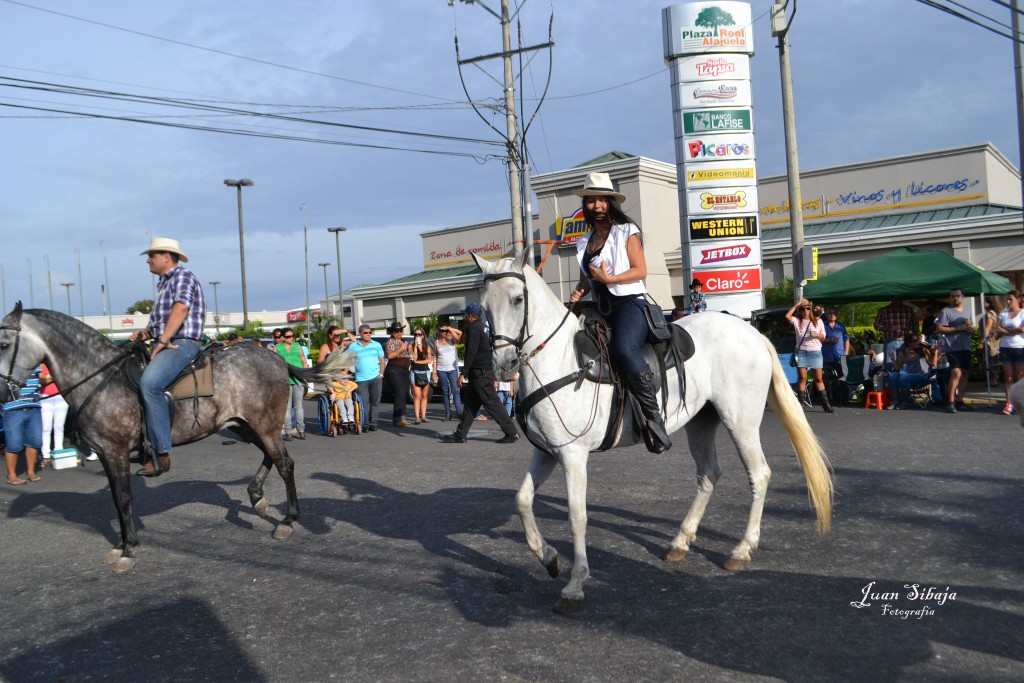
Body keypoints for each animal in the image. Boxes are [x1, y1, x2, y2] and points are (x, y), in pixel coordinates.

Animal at [0, 305, 354, 573]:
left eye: (3, 343)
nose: (4, 392)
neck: (100, 380)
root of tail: (277, 358)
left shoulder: (115, 452)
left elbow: (124, 499)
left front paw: (128, 549)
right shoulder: (104, 454)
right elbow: (116, 499)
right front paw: (122, 544)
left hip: (263, 424)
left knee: (285, 464)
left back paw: (288, 520)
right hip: (243, 425)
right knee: (271, 456)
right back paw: (256, 496)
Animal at [475, 252, 835, 614]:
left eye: (518, 299)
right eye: (484, 305)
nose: (504, 365)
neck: (561, 361)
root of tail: (752, 333)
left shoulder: (573, 455)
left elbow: (577, 518)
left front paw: (574, 586)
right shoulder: (548, 451)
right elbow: (522, 501)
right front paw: (549, 559)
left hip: (741, 422)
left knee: (759, 475)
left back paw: (742, 549)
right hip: (701, 422)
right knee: (709, 474)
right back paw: (680, 542)